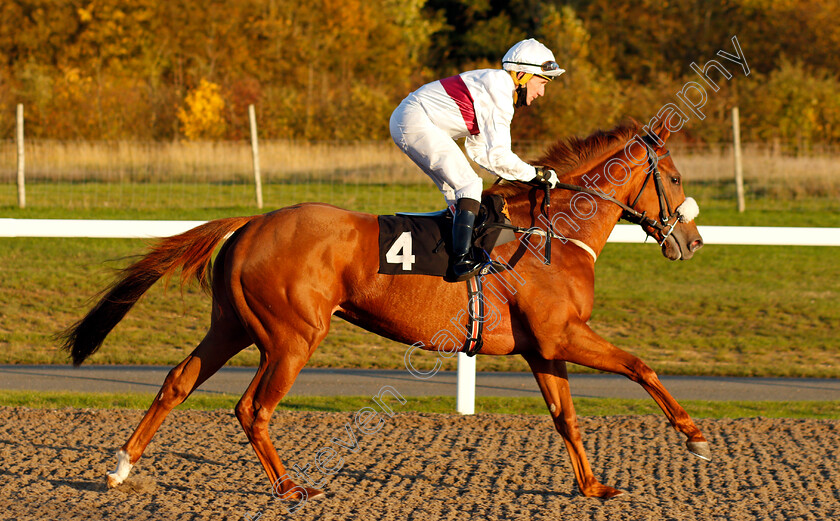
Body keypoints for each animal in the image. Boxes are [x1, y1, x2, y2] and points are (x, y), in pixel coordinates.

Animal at [62, 120, 708, 502]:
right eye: (675, 177)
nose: (692, 240)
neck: (553, 233)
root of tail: (252, 221)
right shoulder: (564, 335)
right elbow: (640, 366)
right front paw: (695, 437)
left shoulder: (543, 348)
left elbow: (566, 417)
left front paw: (594, 486)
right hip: (292, 337)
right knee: (253, 408)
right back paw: (291, 487)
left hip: (233, 326)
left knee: (177, 382)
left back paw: (120, 468)